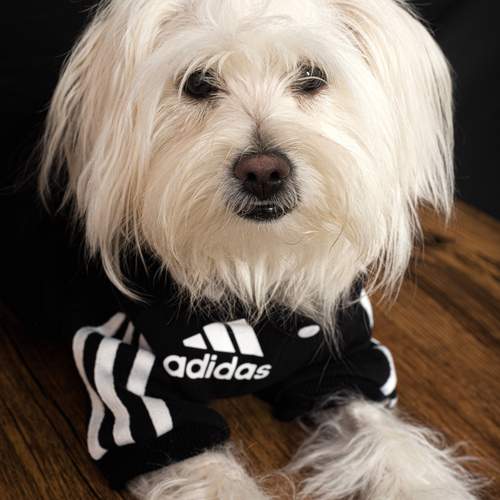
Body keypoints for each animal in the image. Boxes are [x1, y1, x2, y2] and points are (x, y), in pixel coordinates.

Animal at [39, 0, 480, 498]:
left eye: (312, 76)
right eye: (198, 83)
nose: (264, 171)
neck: (255, 262)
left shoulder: (347, 361)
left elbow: (385, 437)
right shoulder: (133, 380)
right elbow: (204, 469)